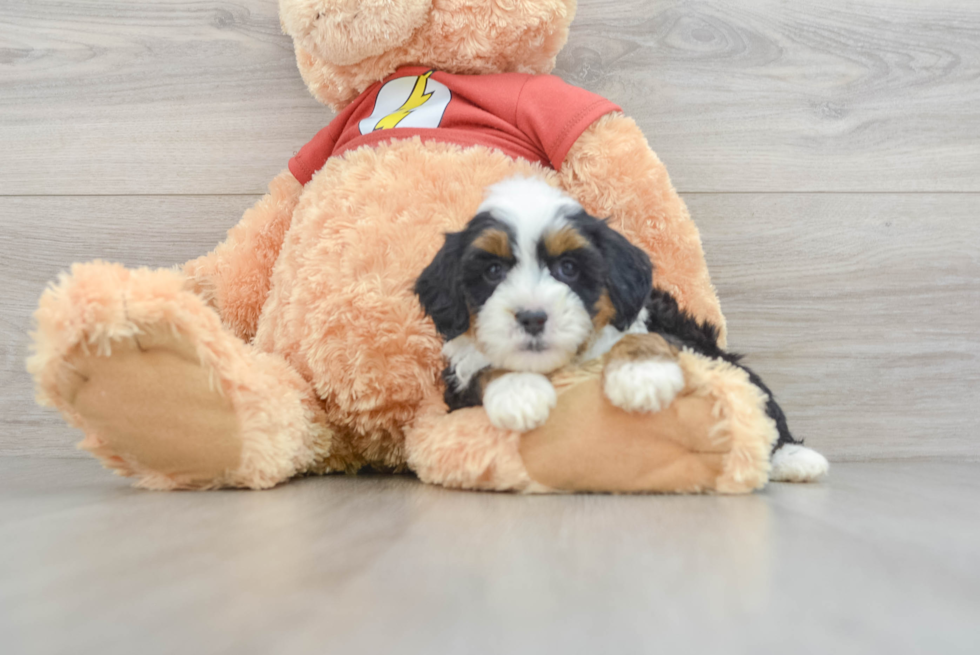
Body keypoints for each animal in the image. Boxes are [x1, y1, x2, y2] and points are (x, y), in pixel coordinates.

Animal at [414, 178, 680, 436]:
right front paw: (518, 389)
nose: (533, 319)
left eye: (568, 267)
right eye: (493, 270)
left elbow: (643, 335)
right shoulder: (457, 393)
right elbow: (486, 369)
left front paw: (643, 370)